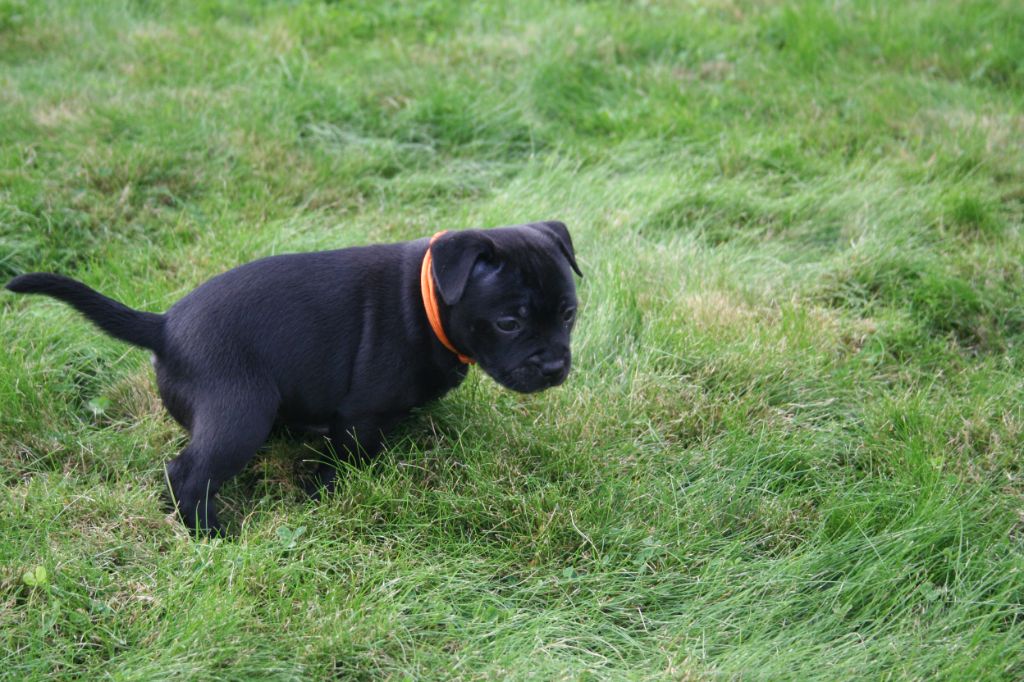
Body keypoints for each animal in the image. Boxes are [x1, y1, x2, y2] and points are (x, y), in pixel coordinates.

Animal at [5, 221, 581, 535]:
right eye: (509, 323)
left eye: (569, 313)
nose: (555, 367)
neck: (428, 300)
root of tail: (164, 327)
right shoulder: (359, 416)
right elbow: (347, 460)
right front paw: (322, 491)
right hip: (240, 414)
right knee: (186, 475)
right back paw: (213, 536)